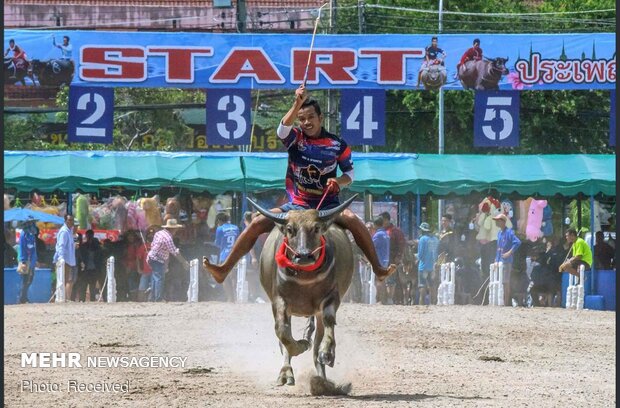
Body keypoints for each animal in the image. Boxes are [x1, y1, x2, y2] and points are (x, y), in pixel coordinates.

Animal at [247, 196, 354, 390]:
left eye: (316, 228)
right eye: (290, 229)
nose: (304, 256)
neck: (305, 277)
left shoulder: (331, 297)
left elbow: (328, 322)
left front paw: (327, 352)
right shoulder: (279, 300)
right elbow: (282, 332)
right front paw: (301, 345)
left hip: (317, 312)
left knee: (317, 343)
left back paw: (323, 380)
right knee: (285, 339)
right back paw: (287, 373)